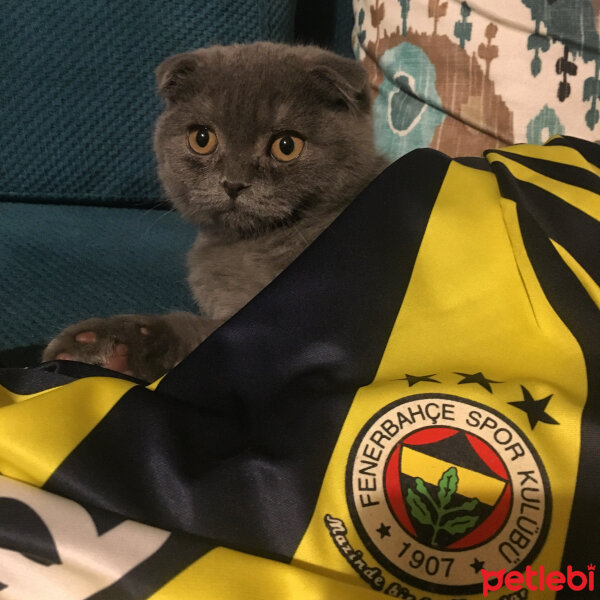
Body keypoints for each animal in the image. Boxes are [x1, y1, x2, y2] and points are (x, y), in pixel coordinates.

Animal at [44, 41, 386, 380]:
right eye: (202, 139)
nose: (233, 183)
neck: (247, 247)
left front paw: (114, 347)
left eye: (287, 146)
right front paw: (105, 348)